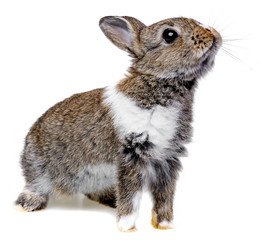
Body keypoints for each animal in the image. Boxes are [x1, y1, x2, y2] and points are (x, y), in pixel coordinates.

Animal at [15, 15, 222, 232]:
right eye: (169, 35)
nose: (212, 33)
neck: (158, 82)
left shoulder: (167, 160)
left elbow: (164, 197)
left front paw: (165, 225)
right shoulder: (130, 155)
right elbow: (131, 196)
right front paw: (126, 226)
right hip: (40, 168)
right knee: (34, 184)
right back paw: (29, 203)